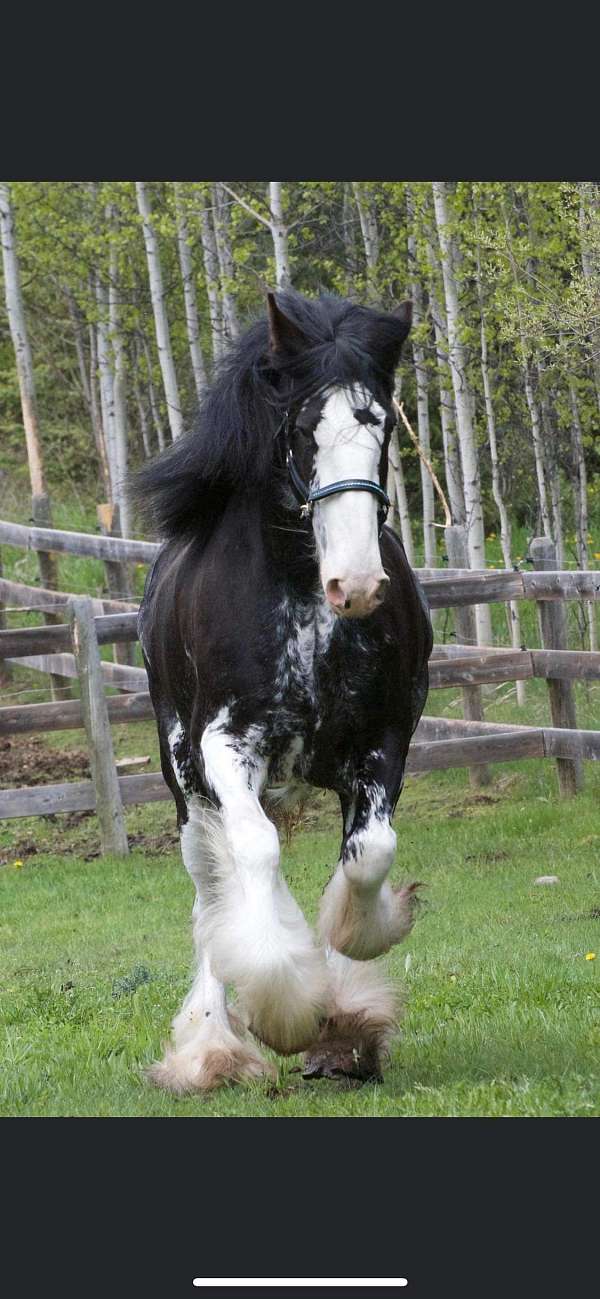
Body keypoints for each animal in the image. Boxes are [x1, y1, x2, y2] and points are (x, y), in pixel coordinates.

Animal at [137, 289, 431, 1091]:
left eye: (382, 421)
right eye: (303, 429)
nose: (354, 584)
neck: (299, 598)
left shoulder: (382, 740)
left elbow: (368, 857)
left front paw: (344, 1013)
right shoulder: (226, 745)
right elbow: (255, 857)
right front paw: (286, 1009)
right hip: (187, 783)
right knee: (215, 889)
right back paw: (212, 1047)